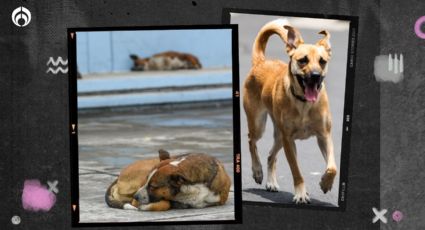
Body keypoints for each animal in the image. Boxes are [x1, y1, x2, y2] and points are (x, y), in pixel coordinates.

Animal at [243, 18, 336, 204]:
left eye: (322, 61)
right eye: (303, 60)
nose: (316, 75)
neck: (304, 103)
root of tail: (261, 62)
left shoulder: (324, 136)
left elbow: (332, 167)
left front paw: (325, 183)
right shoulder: (289, 140)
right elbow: (296, 170)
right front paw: (301, 194)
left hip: (279, 135)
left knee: (271, 156)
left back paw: (271, 182)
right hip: (259, 124)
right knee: (251, 141)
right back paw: (257, 171)